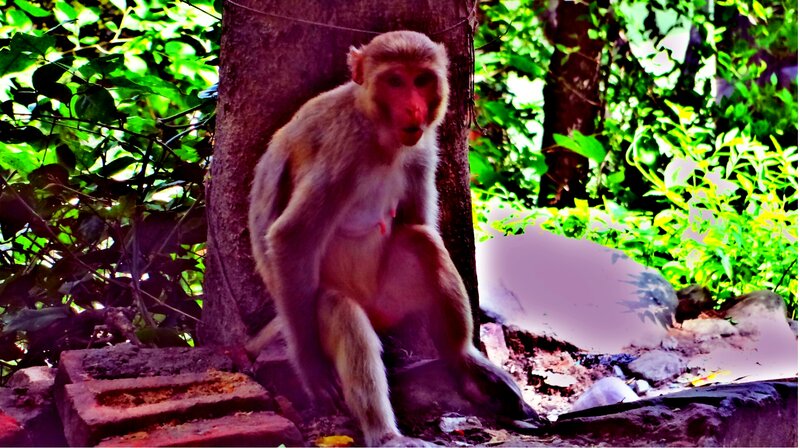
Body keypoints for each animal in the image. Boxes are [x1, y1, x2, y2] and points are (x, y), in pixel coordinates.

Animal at [248, 30, 538, 446]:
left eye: (422, 80)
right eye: (395, 81)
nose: (414, 109)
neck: (377, 131)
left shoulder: (422, 148)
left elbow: (416, 221)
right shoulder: (344, 151)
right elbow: (292, 237)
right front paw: (310, 367)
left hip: (388, 303)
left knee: (421, 241)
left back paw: (464, 362)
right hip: (306, 308)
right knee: (339, 309)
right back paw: (385, 433)